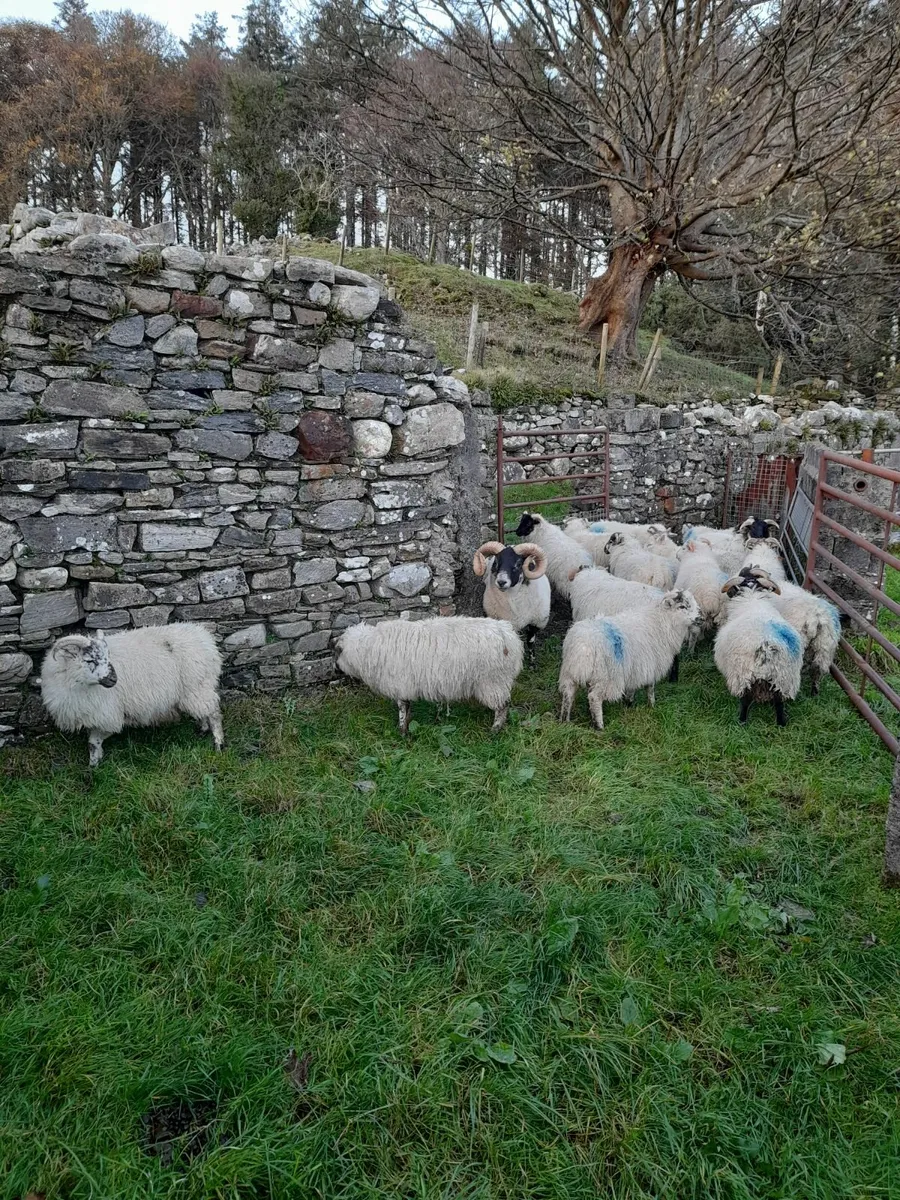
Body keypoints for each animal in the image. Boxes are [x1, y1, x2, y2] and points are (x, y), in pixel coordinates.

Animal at [41, 624, 224, 767]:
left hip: (198, 686)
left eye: (107, 656)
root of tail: (205, 638)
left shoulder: (109, 715)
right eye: (90, 660)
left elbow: (93, 742)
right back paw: (202, 729)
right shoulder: (94, 715)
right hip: (195, 690)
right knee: (203, 712)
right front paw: (96, 762)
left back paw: (218, 744)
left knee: (213, 713)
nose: (114, 679)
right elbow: (94, 743)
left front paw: (93, 766)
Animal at [335, 616, 524, 734]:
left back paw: (495, 729)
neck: (369, 647)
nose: (336, 668)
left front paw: (402, 731)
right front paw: (407, 724)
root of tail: (508, 636)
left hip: (493, 680)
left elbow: (402, 708)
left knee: (503, 706)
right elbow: (407, 707)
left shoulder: (400, 683)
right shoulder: (405, 685)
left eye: (338, 652)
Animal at [558, 590, 701, 728]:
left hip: (570, 673)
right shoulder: (649, 665)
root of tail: (582, 647)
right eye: (682, 606)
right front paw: (651, 706)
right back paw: (599, 727)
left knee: (568, 694)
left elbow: (632, 688)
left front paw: (628, 705)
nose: (700, 618)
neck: (661, 622)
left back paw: (565, 721)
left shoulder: (635, 668)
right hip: (603, 676)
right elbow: (650, 688)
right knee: (594, 698)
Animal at [714, 568, 802, 726]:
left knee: (745, 700)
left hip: (744, 674)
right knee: (779, 702)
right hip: (783, 677)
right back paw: (781, 723)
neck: (752, 597)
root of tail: (766, 645)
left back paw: (742, 722)